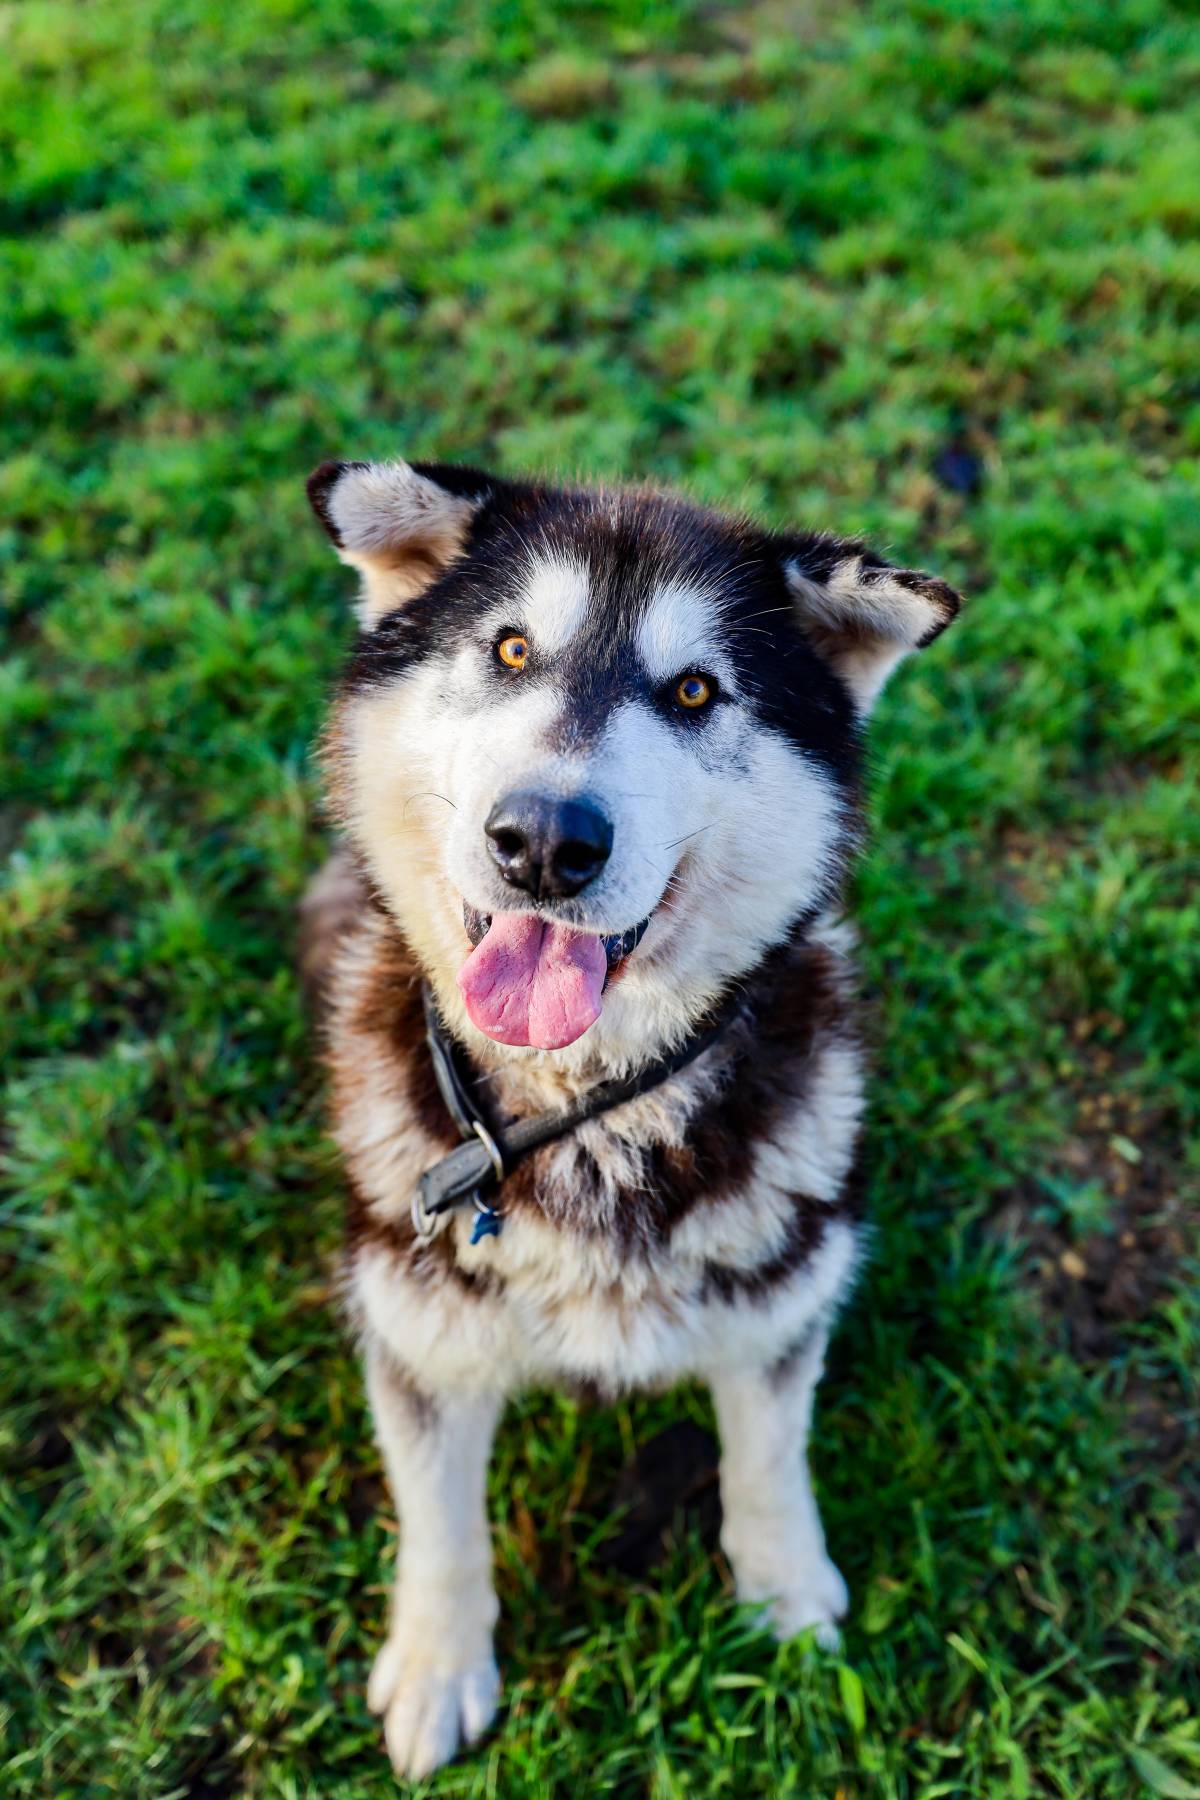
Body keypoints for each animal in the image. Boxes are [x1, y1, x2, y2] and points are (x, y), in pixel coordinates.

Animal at [299, 457, 961, 1778]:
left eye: (696, 689)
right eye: (510, 649)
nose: (544, 841)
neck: (589, 1113)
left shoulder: (783, 1288)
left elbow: (769, 1457)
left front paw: (785, 1594)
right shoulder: (417, 1327)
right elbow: (439, 1519)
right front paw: (440, 1664)